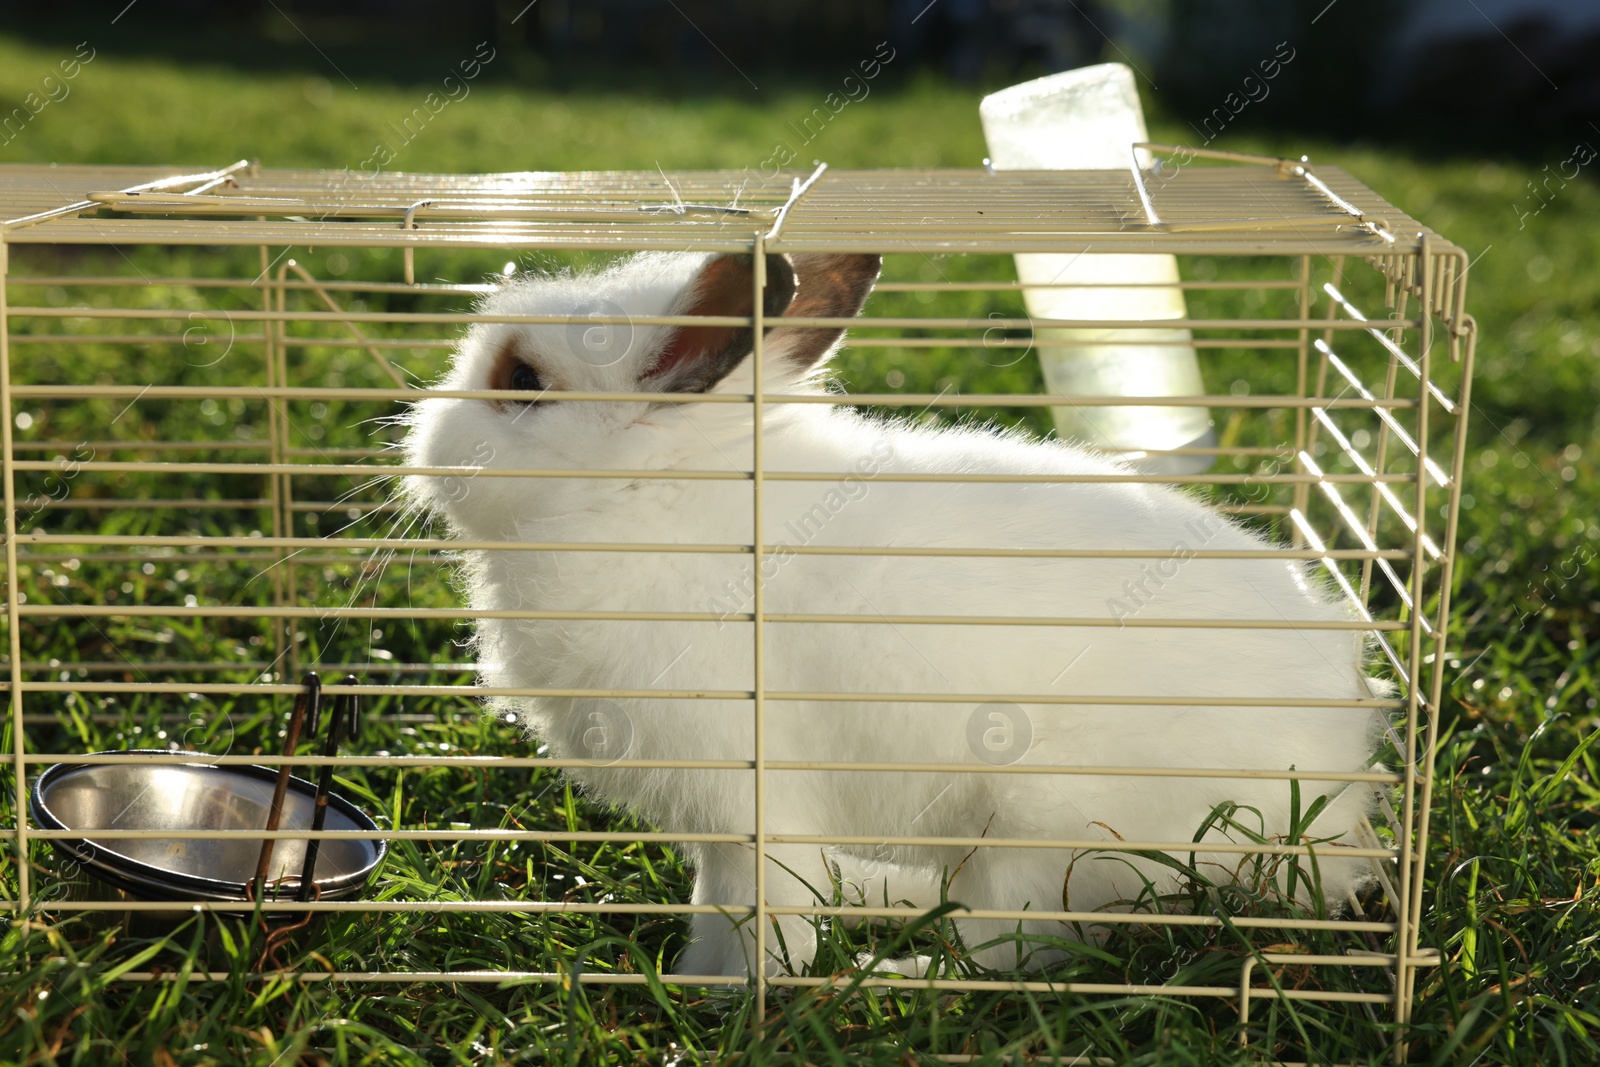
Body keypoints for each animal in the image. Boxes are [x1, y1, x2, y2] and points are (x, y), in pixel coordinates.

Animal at [400, 247, 1388, 979]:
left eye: (522, 379)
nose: (422, 443)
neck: (650, 496)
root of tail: (1341, 803)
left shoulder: (754, 800)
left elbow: (766, 912)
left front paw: (736, 996)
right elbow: (718, 905)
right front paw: (694, 981)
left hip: (1042, 832)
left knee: (1014, 949)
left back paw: (898, 969)